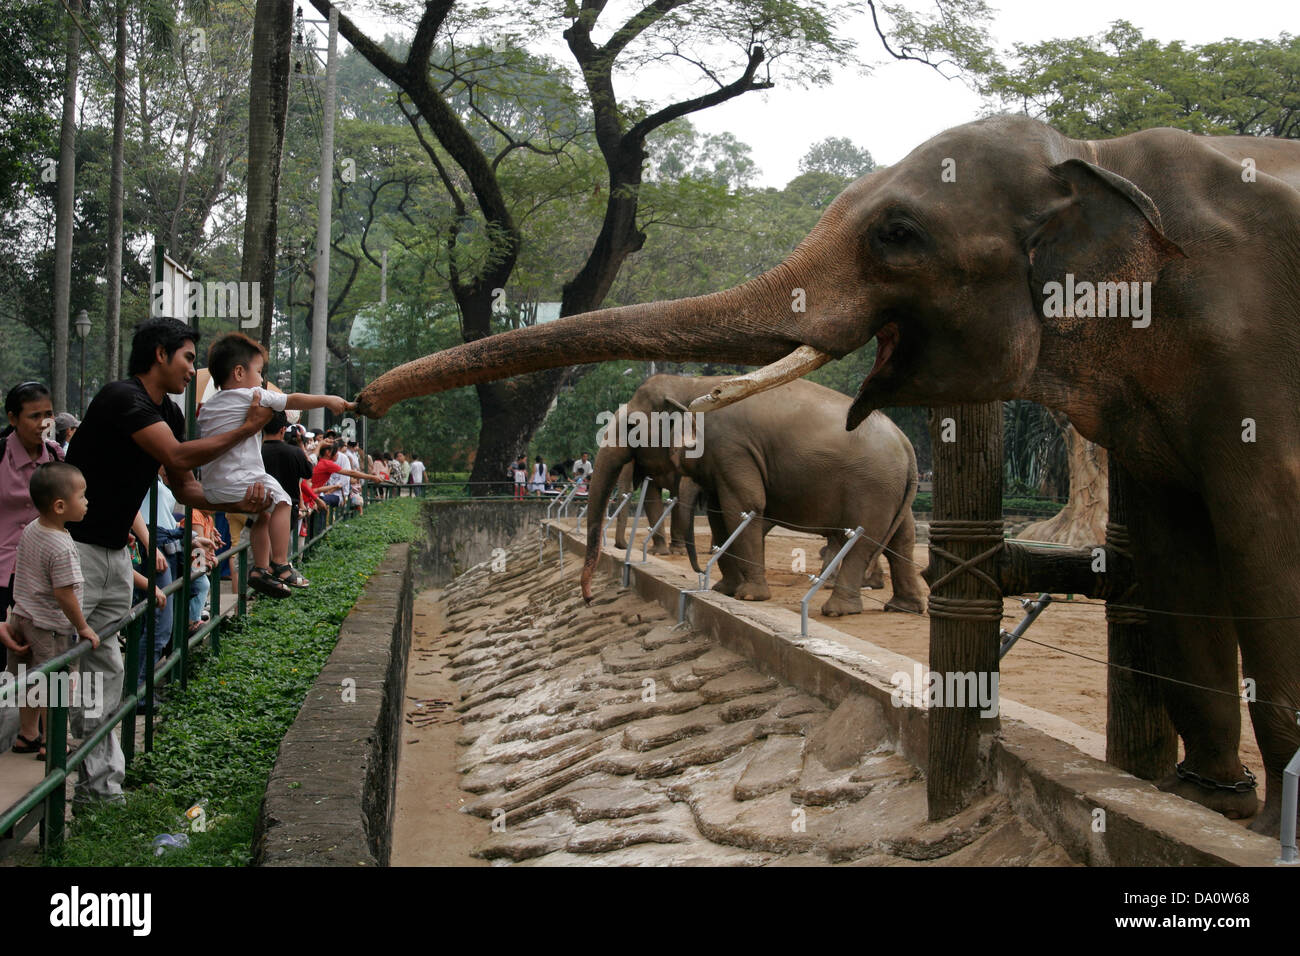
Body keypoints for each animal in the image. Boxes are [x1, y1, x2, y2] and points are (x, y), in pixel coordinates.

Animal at [580, 375, 927, 617]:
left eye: (632, 425)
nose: (589, 599)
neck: (692, 384)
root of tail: (908, 447)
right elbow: (720, 514)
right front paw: (724, 590)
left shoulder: (732, 447)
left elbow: (743, 508)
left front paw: (748, 596)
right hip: (893, 491)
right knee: (902, 539)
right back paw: (903, 607)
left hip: (873, 489)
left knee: (862, 540)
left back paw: (837, 610)